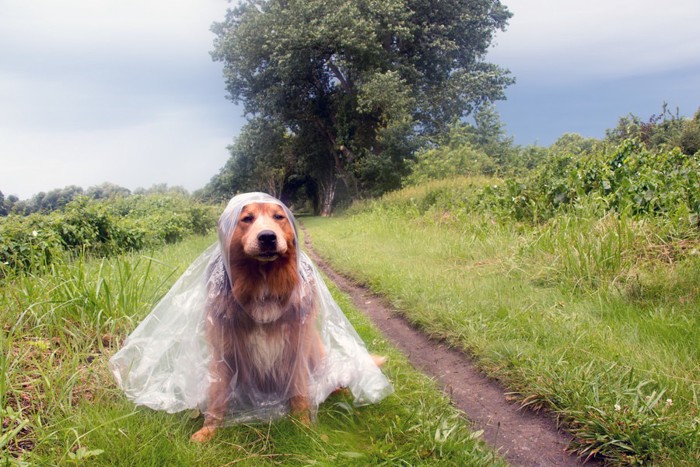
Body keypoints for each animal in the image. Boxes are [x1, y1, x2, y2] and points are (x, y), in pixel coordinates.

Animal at [190, 202, 324, 442]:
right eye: (246, 218)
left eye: (279, 217)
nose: (268, 237)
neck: (263, 288)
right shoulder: (223, 355)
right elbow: (217, 396)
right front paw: (209, 430)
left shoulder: (297, 349)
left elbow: (299, 392)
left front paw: (304, 427)